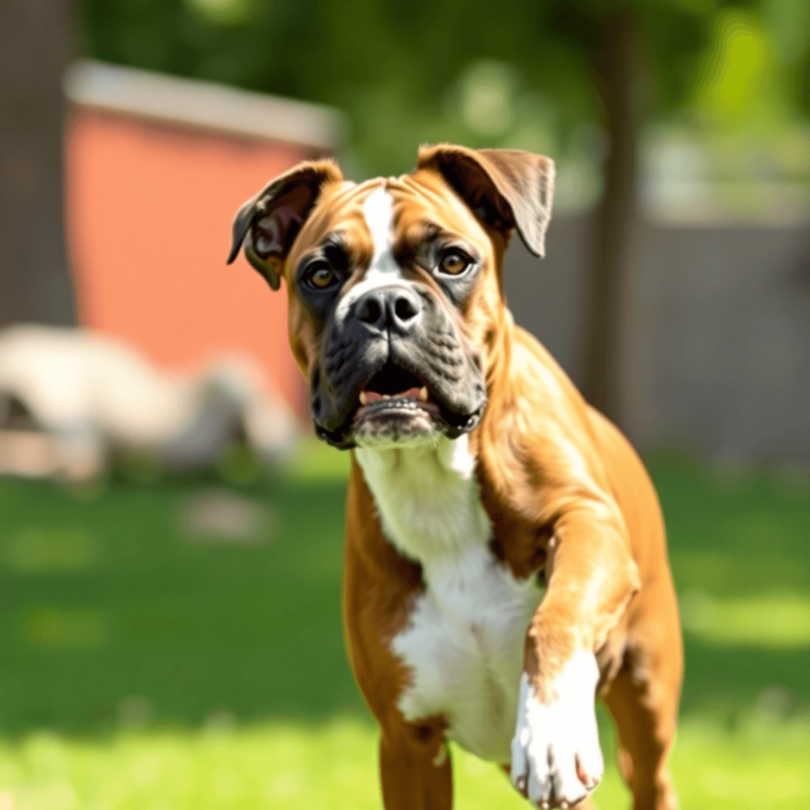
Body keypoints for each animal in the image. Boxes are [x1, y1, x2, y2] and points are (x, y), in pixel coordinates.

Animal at [227, 147, 680, 808]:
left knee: (651, 774)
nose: (384, 304)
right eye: (321, 275)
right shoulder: (409, 747)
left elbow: (556, 614)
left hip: (647, 700)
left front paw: (550, 728)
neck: (431, 481)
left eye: (453, 261)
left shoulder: (590, 526)